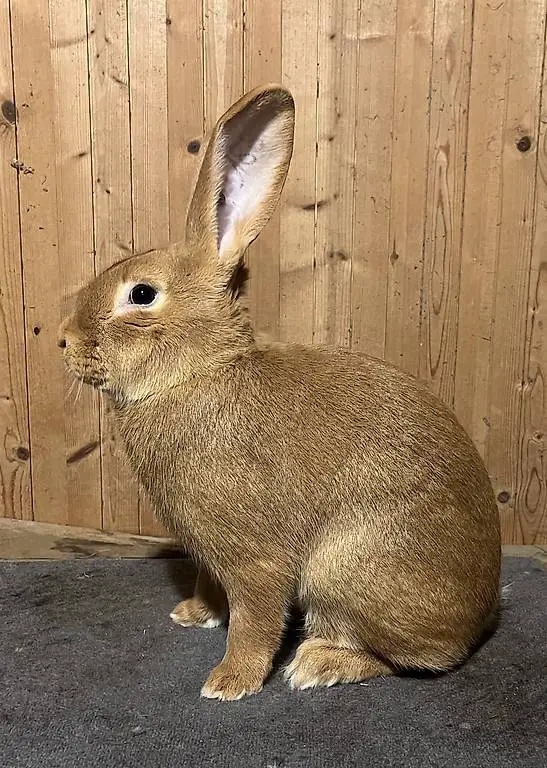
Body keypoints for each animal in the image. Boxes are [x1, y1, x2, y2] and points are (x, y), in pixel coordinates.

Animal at [58, 84, 501, 701]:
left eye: (141, 295)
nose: (64, 339)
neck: (197, 372)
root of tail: (481, 616)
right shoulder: (210, 554)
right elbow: (213, 588)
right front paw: (194, 613)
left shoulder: (256, 558)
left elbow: (256, 618)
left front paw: (229, 682)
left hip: (345, 571)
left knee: (420, 658)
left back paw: (318, 664)